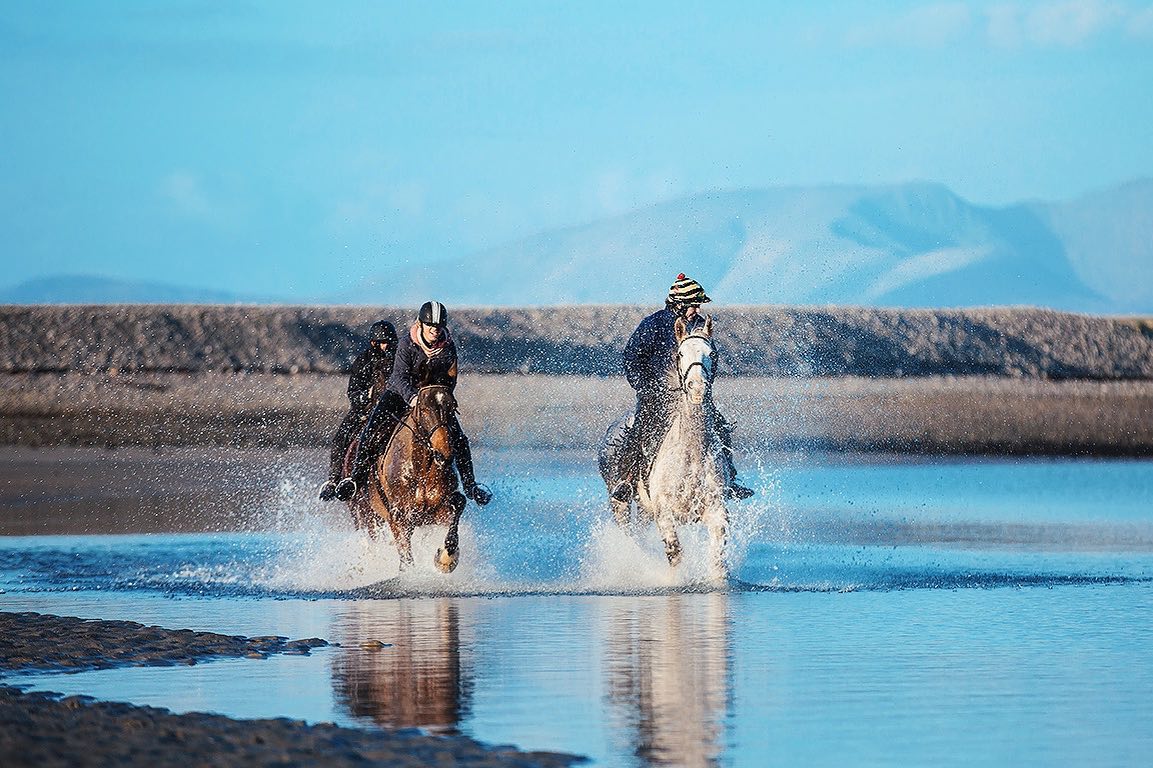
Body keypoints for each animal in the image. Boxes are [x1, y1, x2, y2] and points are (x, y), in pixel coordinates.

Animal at [362, 382, 465, 567]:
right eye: (423, 409)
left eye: (452, 408)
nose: (444, 453)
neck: (421, 468)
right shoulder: (398, 515)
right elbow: (406, 555)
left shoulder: (436, 512)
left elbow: (459, 503)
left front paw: (446, 558)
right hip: (369, 513)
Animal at [604, 313, 728, 576]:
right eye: (680, 354)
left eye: (712, 353)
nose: (697, 387)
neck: (692, 453)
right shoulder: (665, 513)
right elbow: (675, 553)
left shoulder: (716, 511)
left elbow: (717, 560)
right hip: (620, 504)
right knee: (631, 535)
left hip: (644, 509)